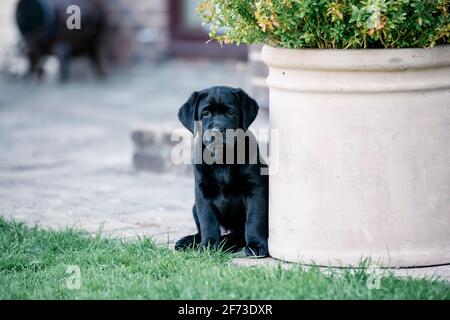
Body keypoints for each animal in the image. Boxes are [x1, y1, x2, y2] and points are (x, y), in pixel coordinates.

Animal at [175, 85, 268, 258]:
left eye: (230, 112)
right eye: (205, 114)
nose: (217, 131)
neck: (223, 158)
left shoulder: (256, 189)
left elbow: (254, 219)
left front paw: (256, 245)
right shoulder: (202, 192)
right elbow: (208, 221)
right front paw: (209, 245)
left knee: (238, 234)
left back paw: (228, 242)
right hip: (194, 206)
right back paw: (189, 241)